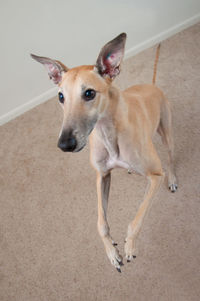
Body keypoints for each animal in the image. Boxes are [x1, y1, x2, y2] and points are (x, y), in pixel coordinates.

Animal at [31, 32, 178, 272]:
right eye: (61, 97)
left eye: (89, 93)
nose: (64, 144)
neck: (108, 133)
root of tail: (152, 84)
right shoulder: (102, 176)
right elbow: (100, 223)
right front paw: (112, 253)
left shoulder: (155, 176)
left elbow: (136, 219)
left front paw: (129, 246)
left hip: (166, 131)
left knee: (170, 158)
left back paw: (173, 178)